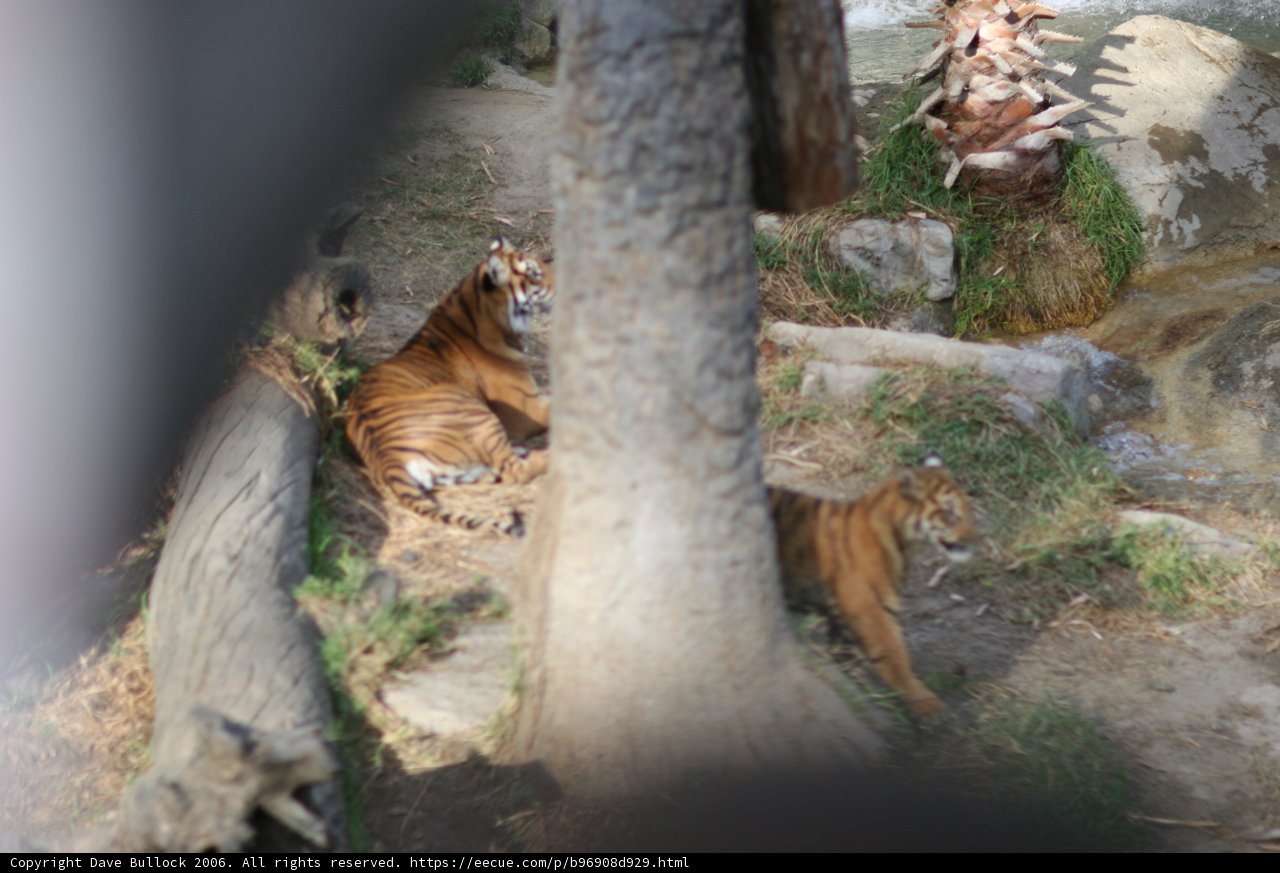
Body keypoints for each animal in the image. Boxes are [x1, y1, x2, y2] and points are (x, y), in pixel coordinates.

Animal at [768, 455, 978, 717]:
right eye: (949, 513)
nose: (977, 538)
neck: (902, 543)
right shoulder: (869, 608)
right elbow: (894, 656)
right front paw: (926, 703)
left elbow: (844, 649)